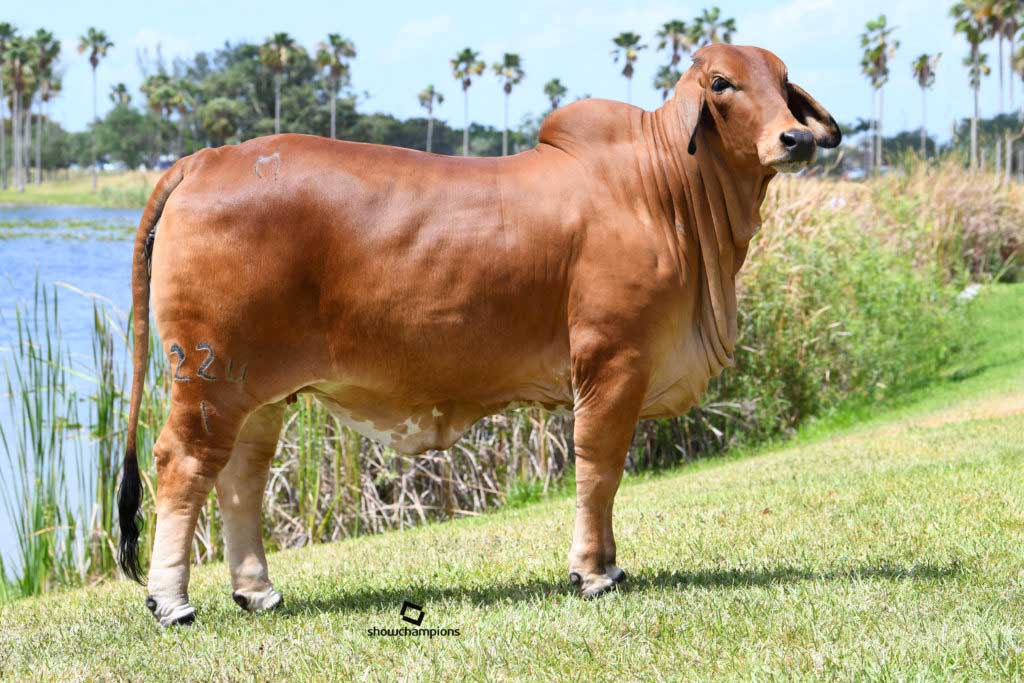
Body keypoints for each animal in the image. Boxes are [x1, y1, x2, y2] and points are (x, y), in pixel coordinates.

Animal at [117, 43, 840, 626]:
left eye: (783, 81)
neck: (666, 192)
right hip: (208, 379)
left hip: (261, 391)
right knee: (182, 467)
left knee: (241, 477)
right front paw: (593, 571)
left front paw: (607, 563)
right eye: (721, 82)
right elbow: (600, 468)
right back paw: (171, 600)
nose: (795, 139)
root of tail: (208, 157)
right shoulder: (614, 362)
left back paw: (257, 590)